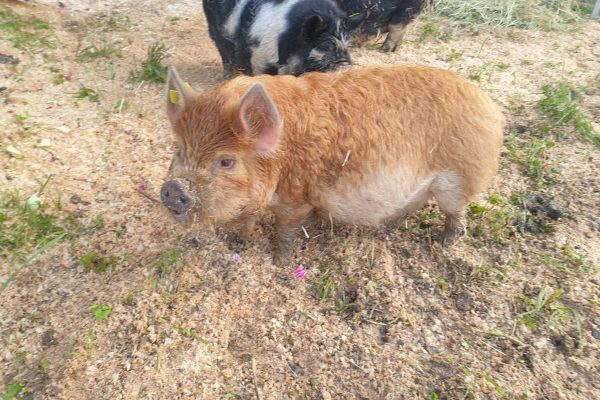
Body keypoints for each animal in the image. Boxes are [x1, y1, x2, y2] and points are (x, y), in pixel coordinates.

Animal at [203, 0, 360, 76]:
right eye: (325, 46)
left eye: (347, 45)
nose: (346, 66)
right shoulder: (258, 56)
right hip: (214, 28)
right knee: (224, 53)